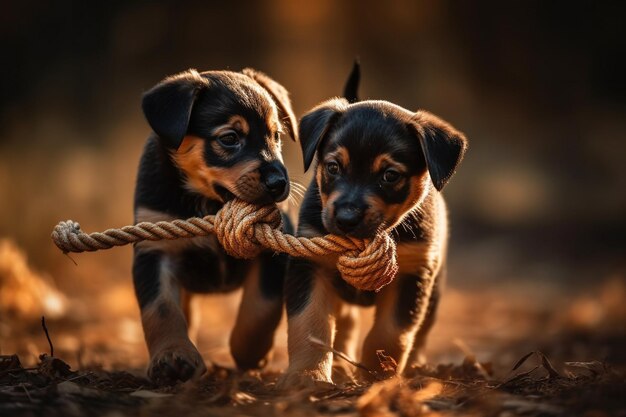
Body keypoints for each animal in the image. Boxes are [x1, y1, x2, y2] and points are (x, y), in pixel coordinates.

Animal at [132, 67, 298, 384]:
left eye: (276, 136)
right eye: (230, 138)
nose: (279, 183)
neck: (208, 205)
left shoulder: (274, 252)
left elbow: (260, 309)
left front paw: (251, 354)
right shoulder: (154, 250)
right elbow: (161, 309)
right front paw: (173, 356)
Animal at [280, 67, 466, 384]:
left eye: (390, 175)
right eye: (333, 167)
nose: (346, 219)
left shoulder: (412, 275)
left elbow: (390, 333)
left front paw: (378, 375)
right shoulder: (310, 265)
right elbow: (310, 325)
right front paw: (307, 376)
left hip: (434, 291)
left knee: (420, 333)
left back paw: (415, 366)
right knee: (345, 325)